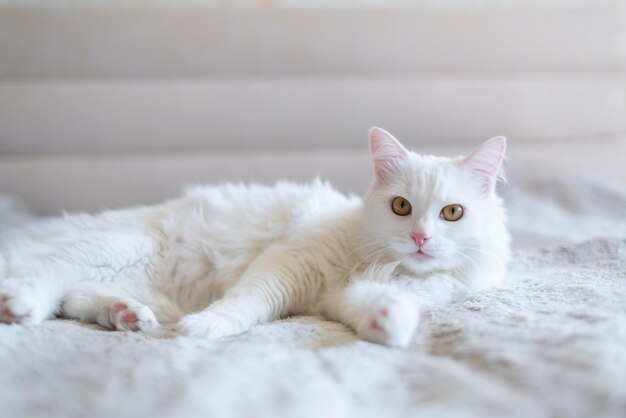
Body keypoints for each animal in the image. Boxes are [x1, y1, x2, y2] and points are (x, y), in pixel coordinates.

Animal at [0, 129, 508, 348]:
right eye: (401, 207)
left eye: (451, 213)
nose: (421, 237)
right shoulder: (286, 261)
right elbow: (245, 303)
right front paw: (204, 327)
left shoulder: (354, 293)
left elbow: (382, 304)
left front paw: (392, 325)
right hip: (120, 247)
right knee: (44, 276)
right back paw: (18, 306)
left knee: (74, 298)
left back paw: (126, 316)